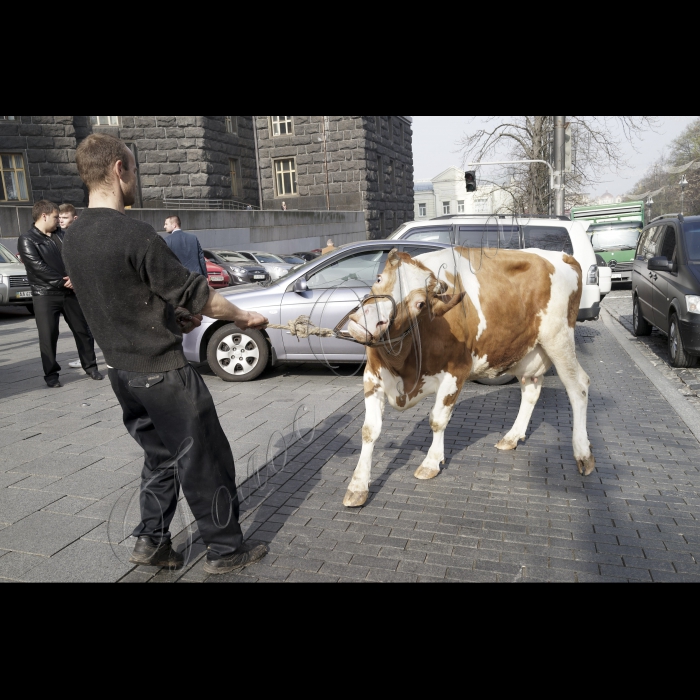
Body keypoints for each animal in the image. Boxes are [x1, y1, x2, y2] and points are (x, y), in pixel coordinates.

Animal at [342, 247, 592, 508]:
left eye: (420, 303)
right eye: (379, 278)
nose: (370, 322)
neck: (402, 362)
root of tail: (562, 255)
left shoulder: (456, 372)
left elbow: (437, 420)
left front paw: (431, 462)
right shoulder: (372, 377)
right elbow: (369, 430)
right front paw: (358, 485)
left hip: (559, 339)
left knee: (579, 386)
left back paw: (583, 454)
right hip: (529, 352)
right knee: (531, 390)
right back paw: (512, 437)